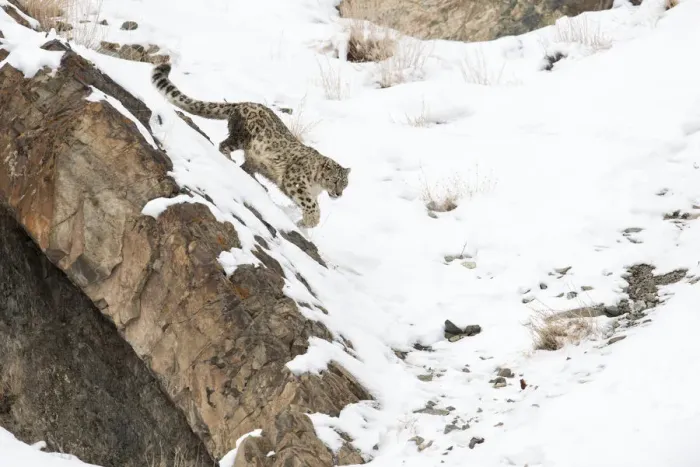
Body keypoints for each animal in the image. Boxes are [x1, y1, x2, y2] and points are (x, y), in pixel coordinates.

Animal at [151, 64, 350, 228]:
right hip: (241, 137)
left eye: (345, 183)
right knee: (224, 145)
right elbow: (311, 204)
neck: (318, 186)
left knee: (246, 166)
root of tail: (242, 104)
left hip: (254, 158)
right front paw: (311, 221)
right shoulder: (296, 181)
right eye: (334, 180)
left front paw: (304, 222)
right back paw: (230, 160)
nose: (339, 194)